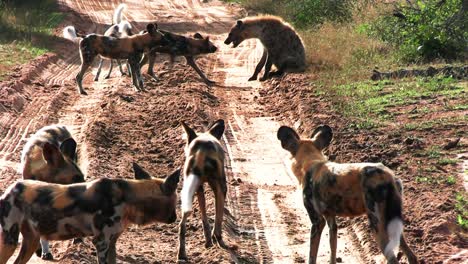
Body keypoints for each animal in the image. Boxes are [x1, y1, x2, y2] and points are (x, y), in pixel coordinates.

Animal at [0, 162, 180, 262]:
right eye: (176, 200)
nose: (175, 218)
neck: (127, 197)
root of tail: (10, 189)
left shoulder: (112, 243)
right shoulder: (101, 242)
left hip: (31, 241)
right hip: (9, 241)